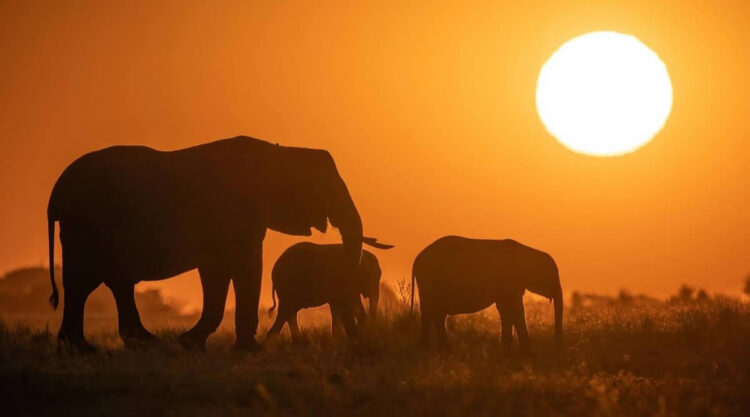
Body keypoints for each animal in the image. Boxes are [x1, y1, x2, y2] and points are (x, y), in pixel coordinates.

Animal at [46, 136, 384, 352]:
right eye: (324, 188)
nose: (357, 338)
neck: (281, 152)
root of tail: (56, 195)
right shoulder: (238, 212)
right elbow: (243, 267)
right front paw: (248, 350)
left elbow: (218, 273)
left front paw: (190, 344)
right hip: (87, 227)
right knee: (84, 282)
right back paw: (84, 349)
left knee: (113, 283)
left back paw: (133, 344)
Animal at [412, 236, 564, 352]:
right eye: (552, 276)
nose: (556, 347)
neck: (528, 252)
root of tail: (417, 259)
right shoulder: (509, 281)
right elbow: (514, 310)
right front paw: (525, 354)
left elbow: (506, 310)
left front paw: (507, 352)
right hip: (430, 284)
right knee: (432, 314)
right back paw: (431, 349)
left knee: (436, 315)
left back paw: (440, 350)